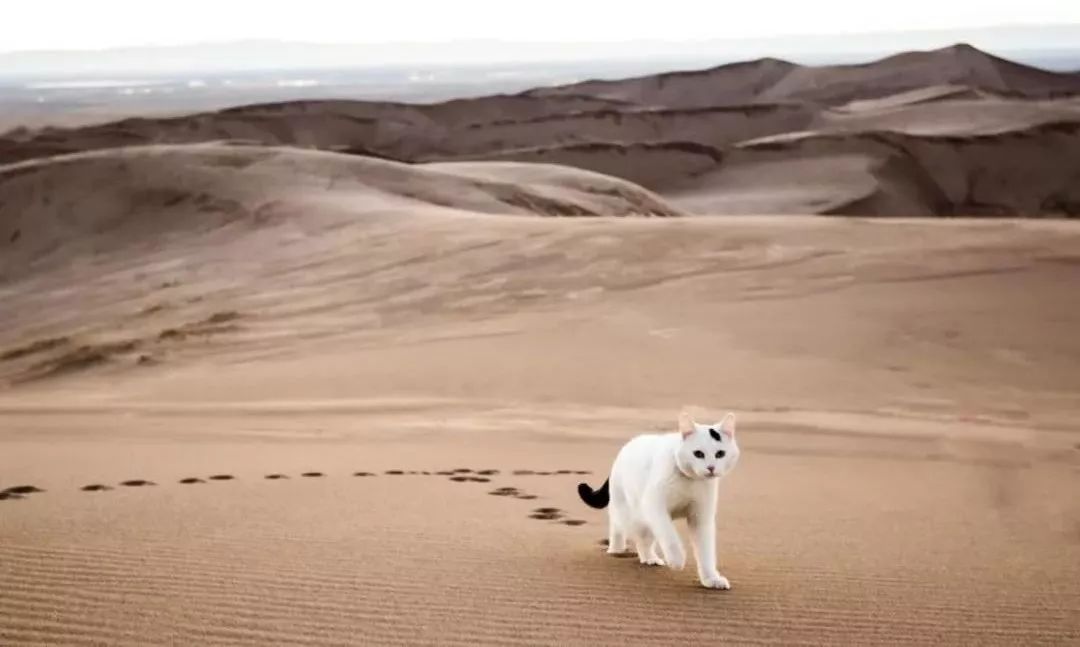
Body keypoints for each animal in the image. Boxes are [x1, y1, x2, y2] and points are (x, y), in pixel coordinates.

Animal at [578, 412, 738, 591]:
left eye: (720, 454)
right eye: (698, 454)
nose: (711, 468)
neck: (689, 481)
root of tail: (629, 444)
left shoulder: (701, 518)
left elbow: (706, 552)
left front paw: (711, 579)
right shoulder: (655, 506)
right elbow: (670, 536)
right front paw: (677, 560)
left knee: (643, 538)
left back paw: (650, 558)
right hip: (630, 510)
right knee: (620, 525)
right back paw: (616, 549)